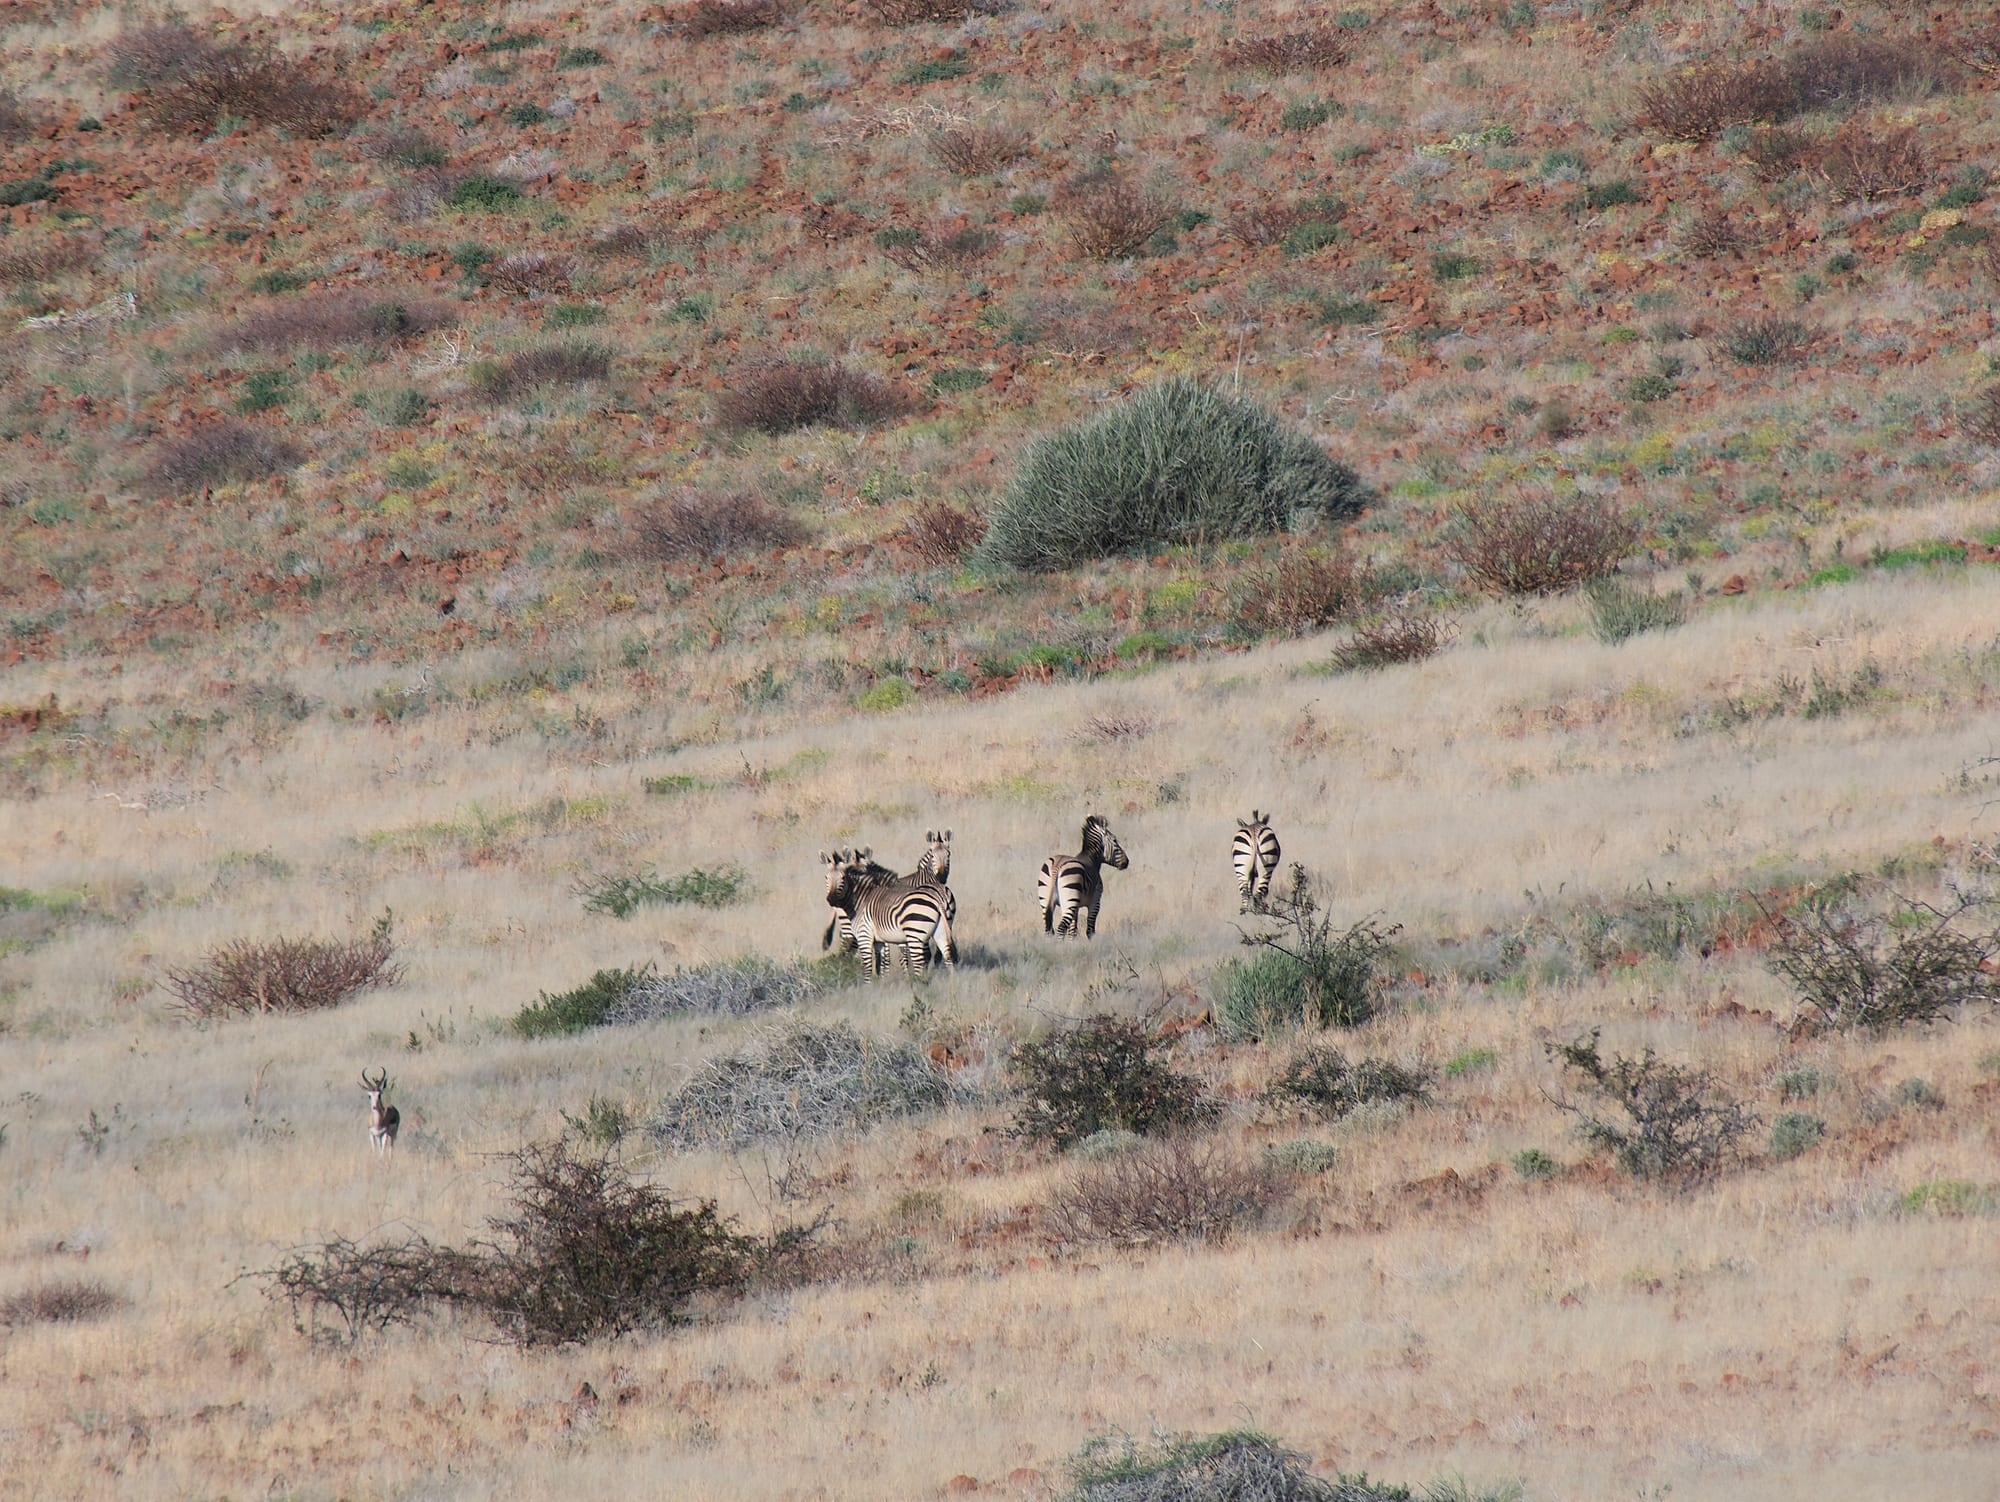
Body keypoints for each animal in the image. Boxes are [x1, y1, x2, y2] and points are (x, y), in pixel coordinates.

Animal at [823, 849, 957, 977]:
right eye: (826, 878)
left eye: (842, 878)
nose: (831, 899)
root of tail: (938, 899)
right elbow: (883, 959)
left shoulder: (868, 934)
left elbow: (880, 961)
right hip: (940, 929)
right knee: (946, 956)